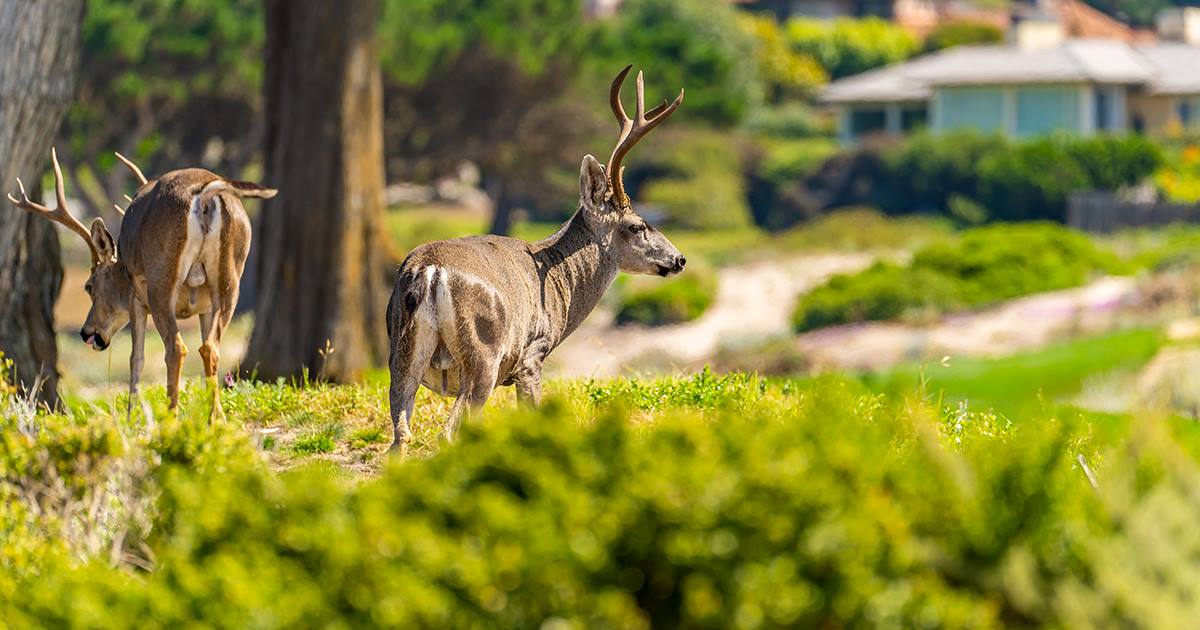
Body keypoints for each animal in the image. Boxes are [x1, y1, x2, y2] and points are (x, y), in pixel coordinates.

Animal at [5, 148, 276, 421]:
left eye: (89, 286)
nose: (86, 332)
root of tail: (205, 196)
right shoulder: (204, 307)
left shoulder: (136, 299)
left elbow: (136, 358)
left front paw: (130, 417)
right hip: (230, 279)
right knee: (209, 346)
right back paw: (216, 418)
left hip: (161, 280)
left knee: (176, 348)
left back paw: (171, 415)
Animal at [385, 65, 686, 452]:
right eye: (637, 225)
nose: (679, 259)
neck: (561, 285)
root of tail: (429, 271)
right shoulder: (532, 356)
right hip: (483, 354)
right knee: (449, 430)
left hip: (401, 353)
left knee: (400, 435)